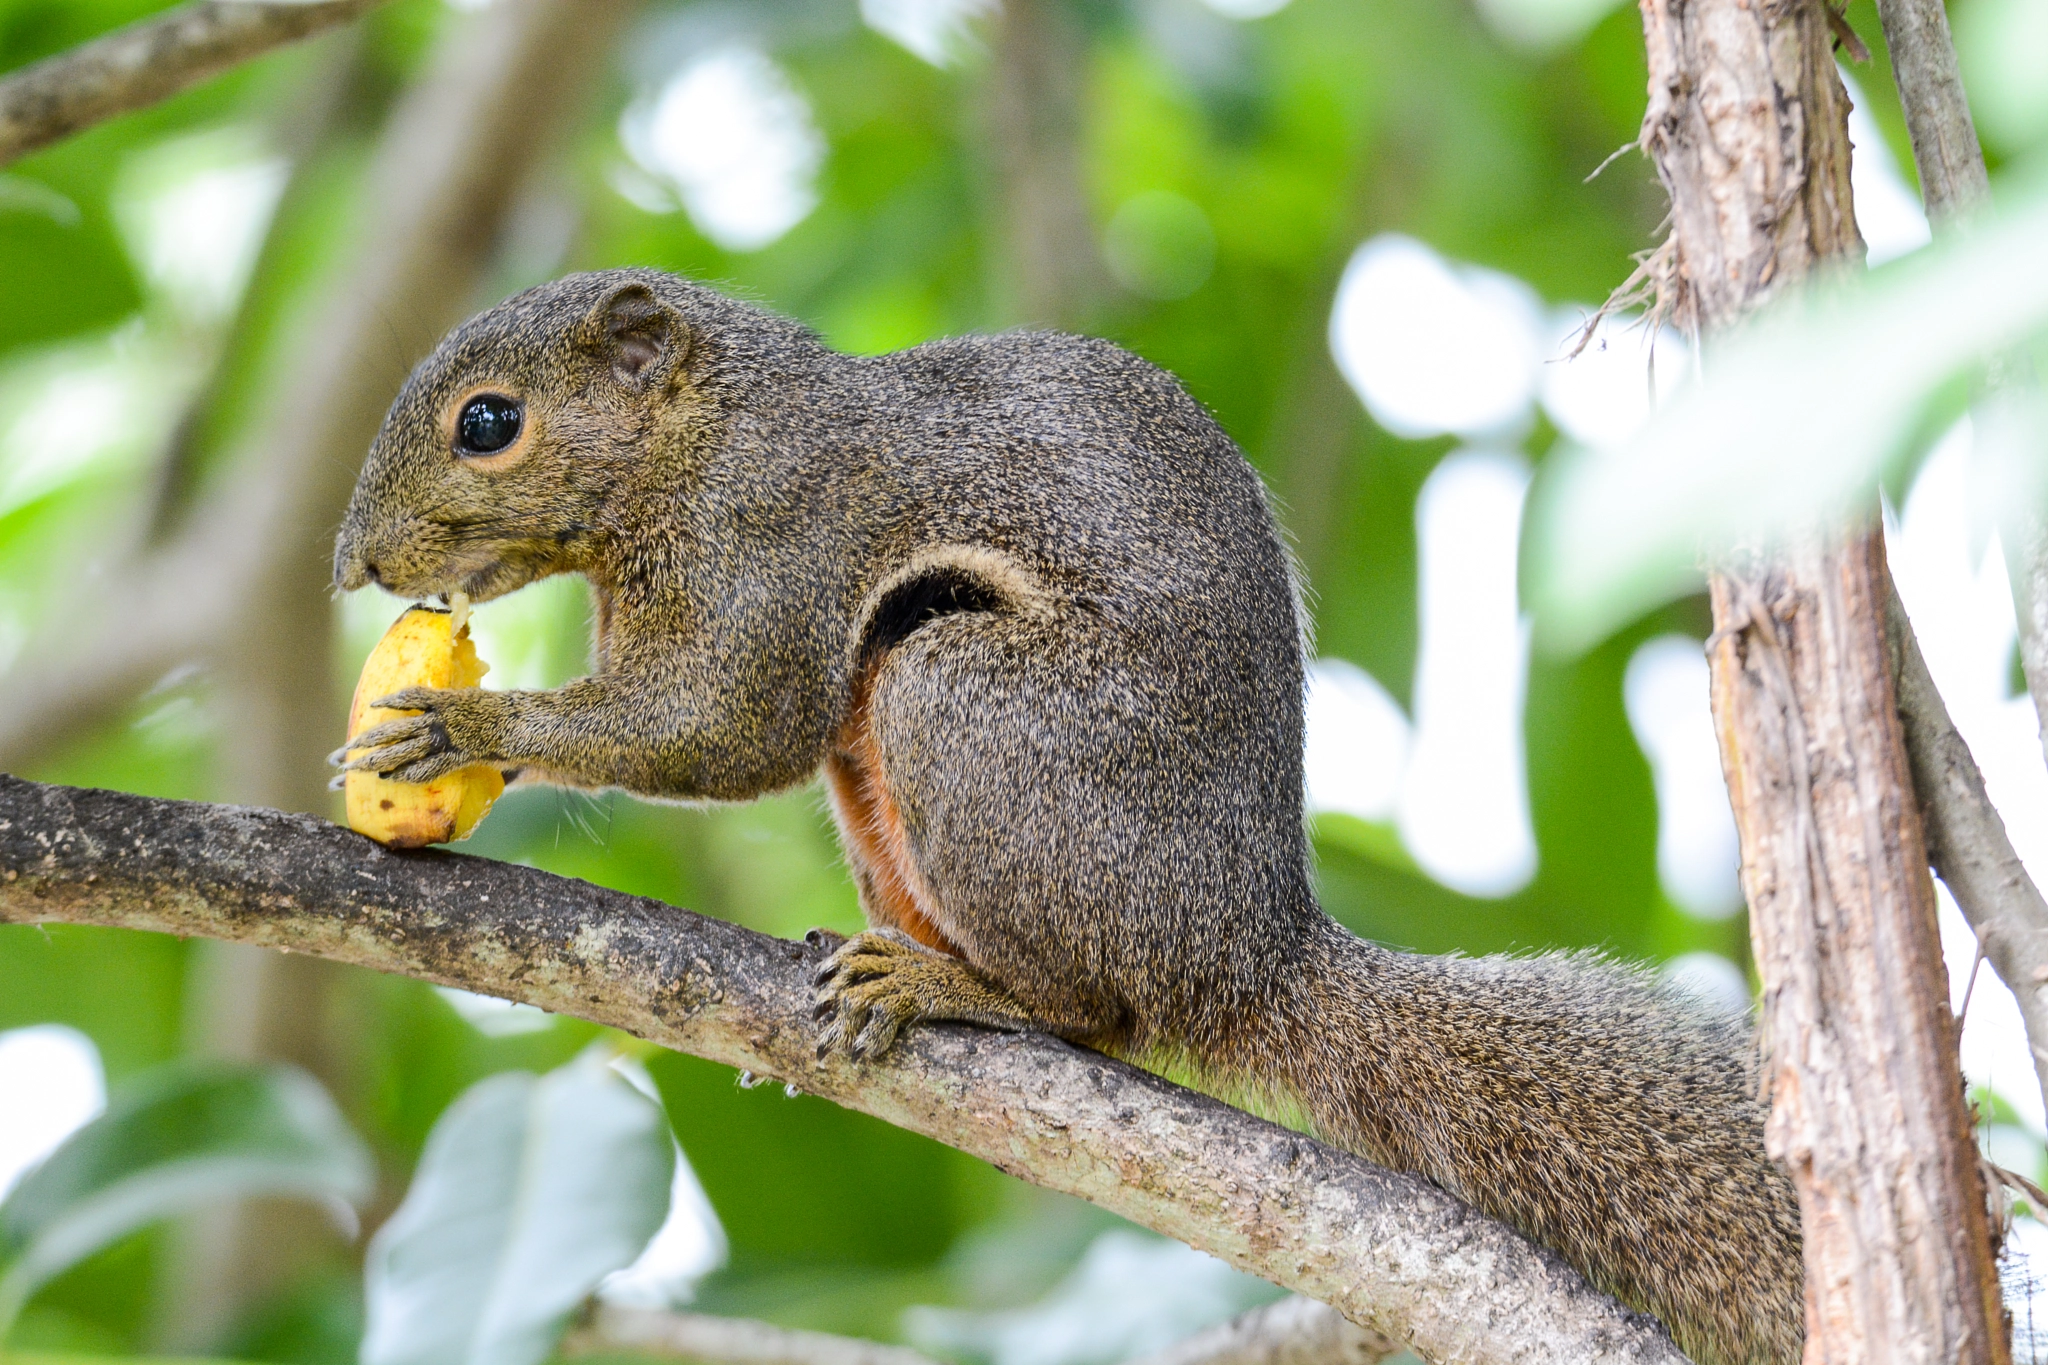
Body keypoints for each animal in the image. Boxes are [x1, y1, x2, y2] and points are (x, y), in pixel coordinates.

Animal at [327, 270, 1802, 1365]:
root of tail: (1245, 949)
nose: (358, 563)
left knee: (1101, 1016)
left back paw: (953, 989)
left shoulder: (773, 542)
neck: (706, 436)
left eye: (487, 424)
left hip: (969, 710)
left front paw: (467, 728)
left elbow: (723, 724)